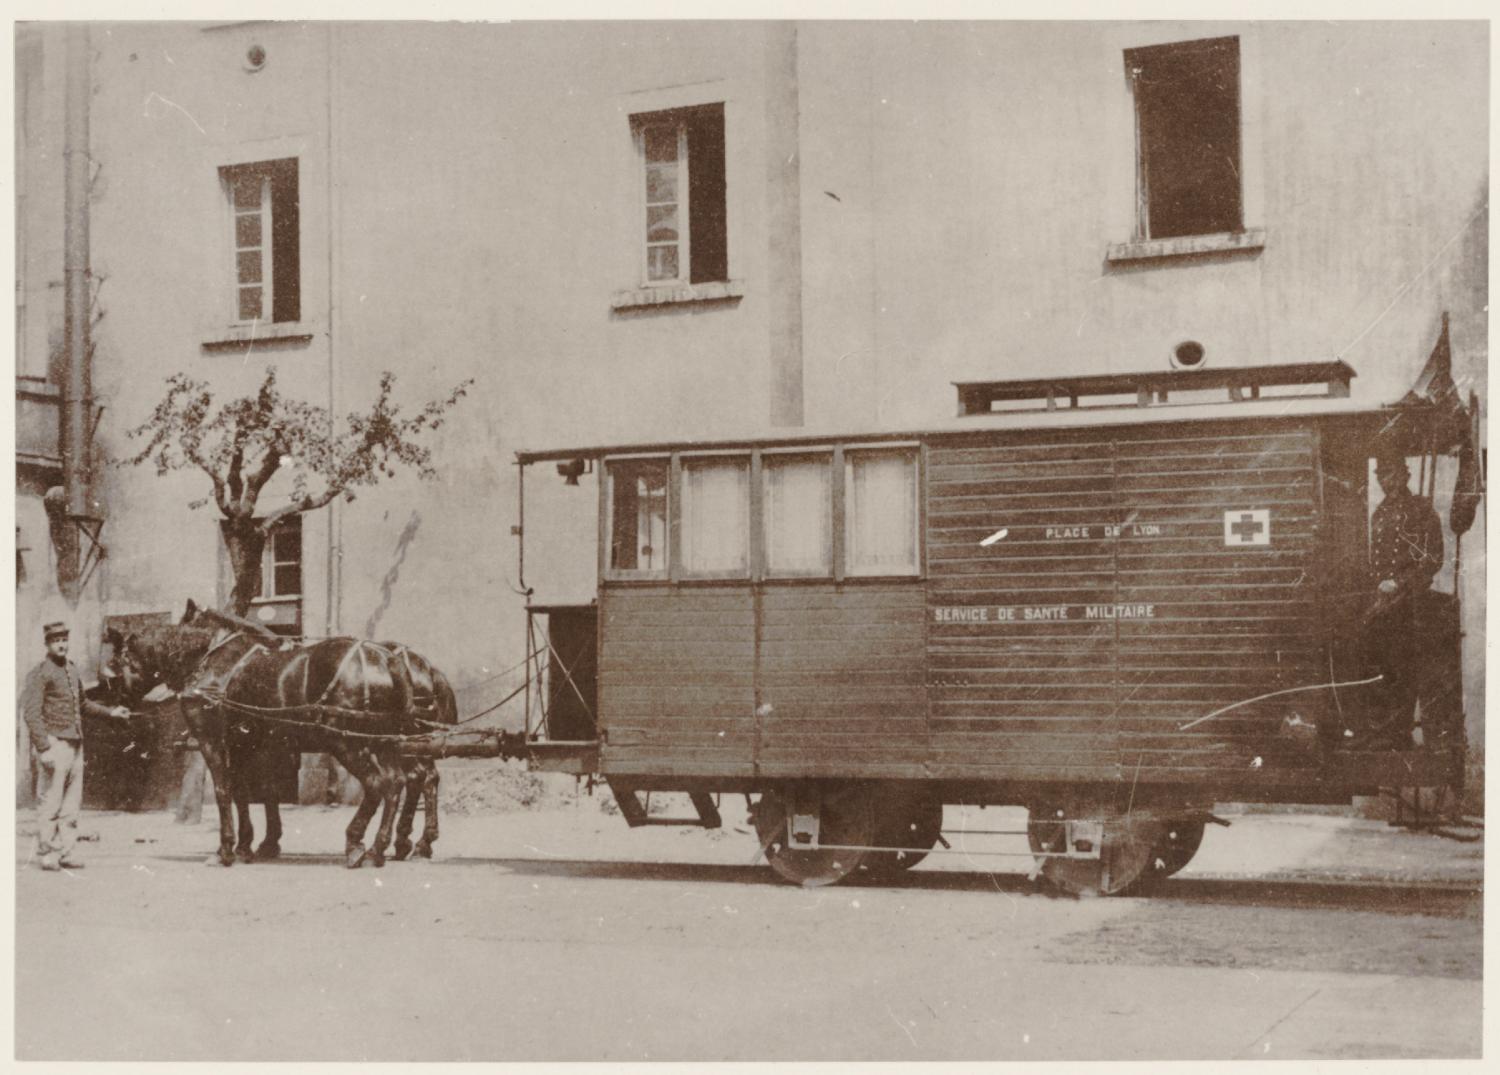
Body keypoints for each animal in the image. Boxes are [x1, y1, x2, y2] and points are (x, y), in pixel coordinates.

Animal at [109, 602, 447, 863]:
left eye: (116, 662)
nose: (119, 702)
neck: (212, 661)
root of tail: (388, 659)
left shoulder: (213, 741)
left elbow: (225, 790)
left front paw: (227, 849)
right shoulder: (249, 745)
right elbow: (250, 792)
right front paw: (251, 843)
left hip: (348, 742)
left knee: (383, 783)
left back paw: (362, 843)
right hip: (387, 741)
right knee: (405, 781)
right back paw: (389, 845)